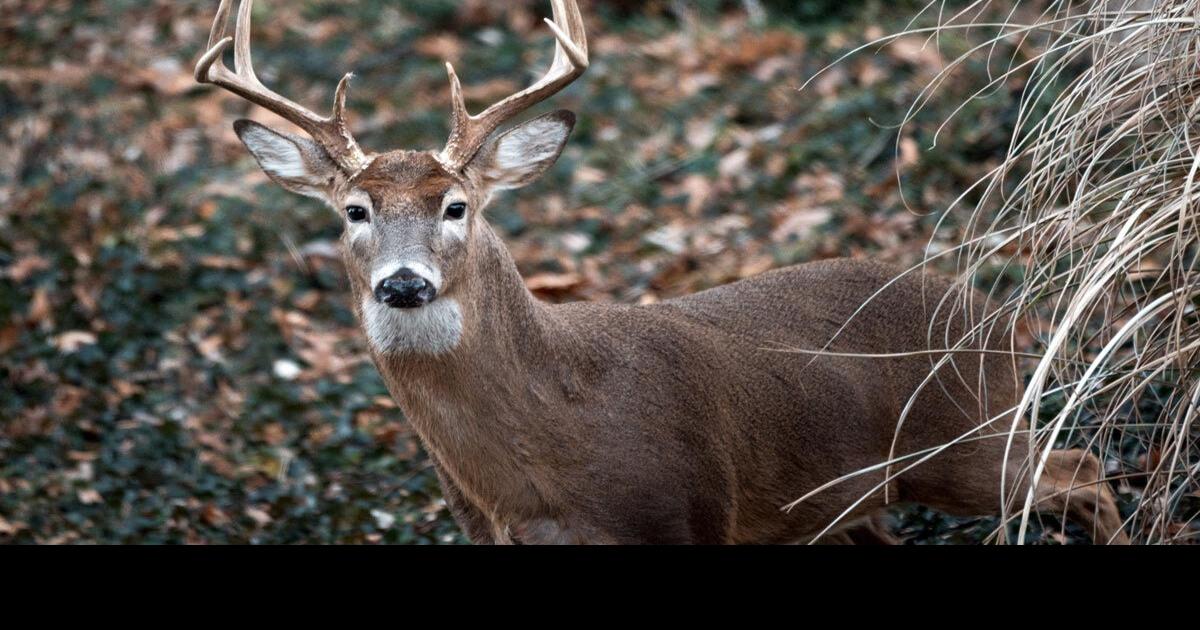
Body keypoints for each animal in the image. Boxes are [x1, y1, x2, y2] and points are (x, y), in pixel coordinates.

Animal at [195, 0, 1129, 544]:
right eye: (355, 211)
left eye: (456, 206)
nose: (403, 283)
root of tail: (994, 312)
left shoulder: (694, 512)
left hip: (968, 439)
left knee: (1085, 473)